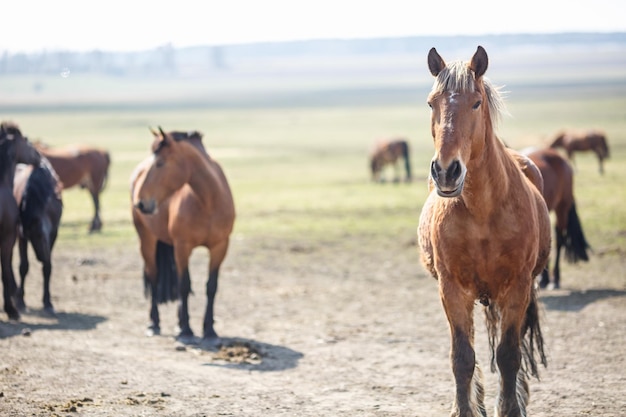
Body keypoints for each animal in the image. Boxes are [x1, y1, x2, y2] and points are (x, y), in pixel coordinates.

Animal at [12, 158, 63, 316]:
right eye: (28, 232)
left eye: (40, 234)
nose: (41, 256)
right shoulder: (21, 236)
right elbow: (23, 267)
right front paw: (20, 301)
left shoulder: (54, 233)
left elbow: (48, 268)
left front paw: (48, 302)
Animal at [129, 127, 234, 344]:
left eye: (160, 163)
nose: (141, 203)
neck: (208, 202)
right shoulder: (183, 246)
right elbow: (184, 285)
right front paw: (186, 329)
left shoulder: (220, 247)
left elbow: (211, 286)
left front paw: (209, 330)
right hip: (148, 240)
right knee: (154, 277)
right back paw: (154, 324)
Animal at [416, 46, 548, 416]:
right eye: (431, 103)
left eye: (476, 103)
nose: (446, 171)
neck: (483, 213)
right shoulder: (452, 290)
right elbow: (462, 358)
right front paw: (464, 408)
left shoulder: (517, 288)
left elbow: (509, 355)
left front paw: (512, 407)